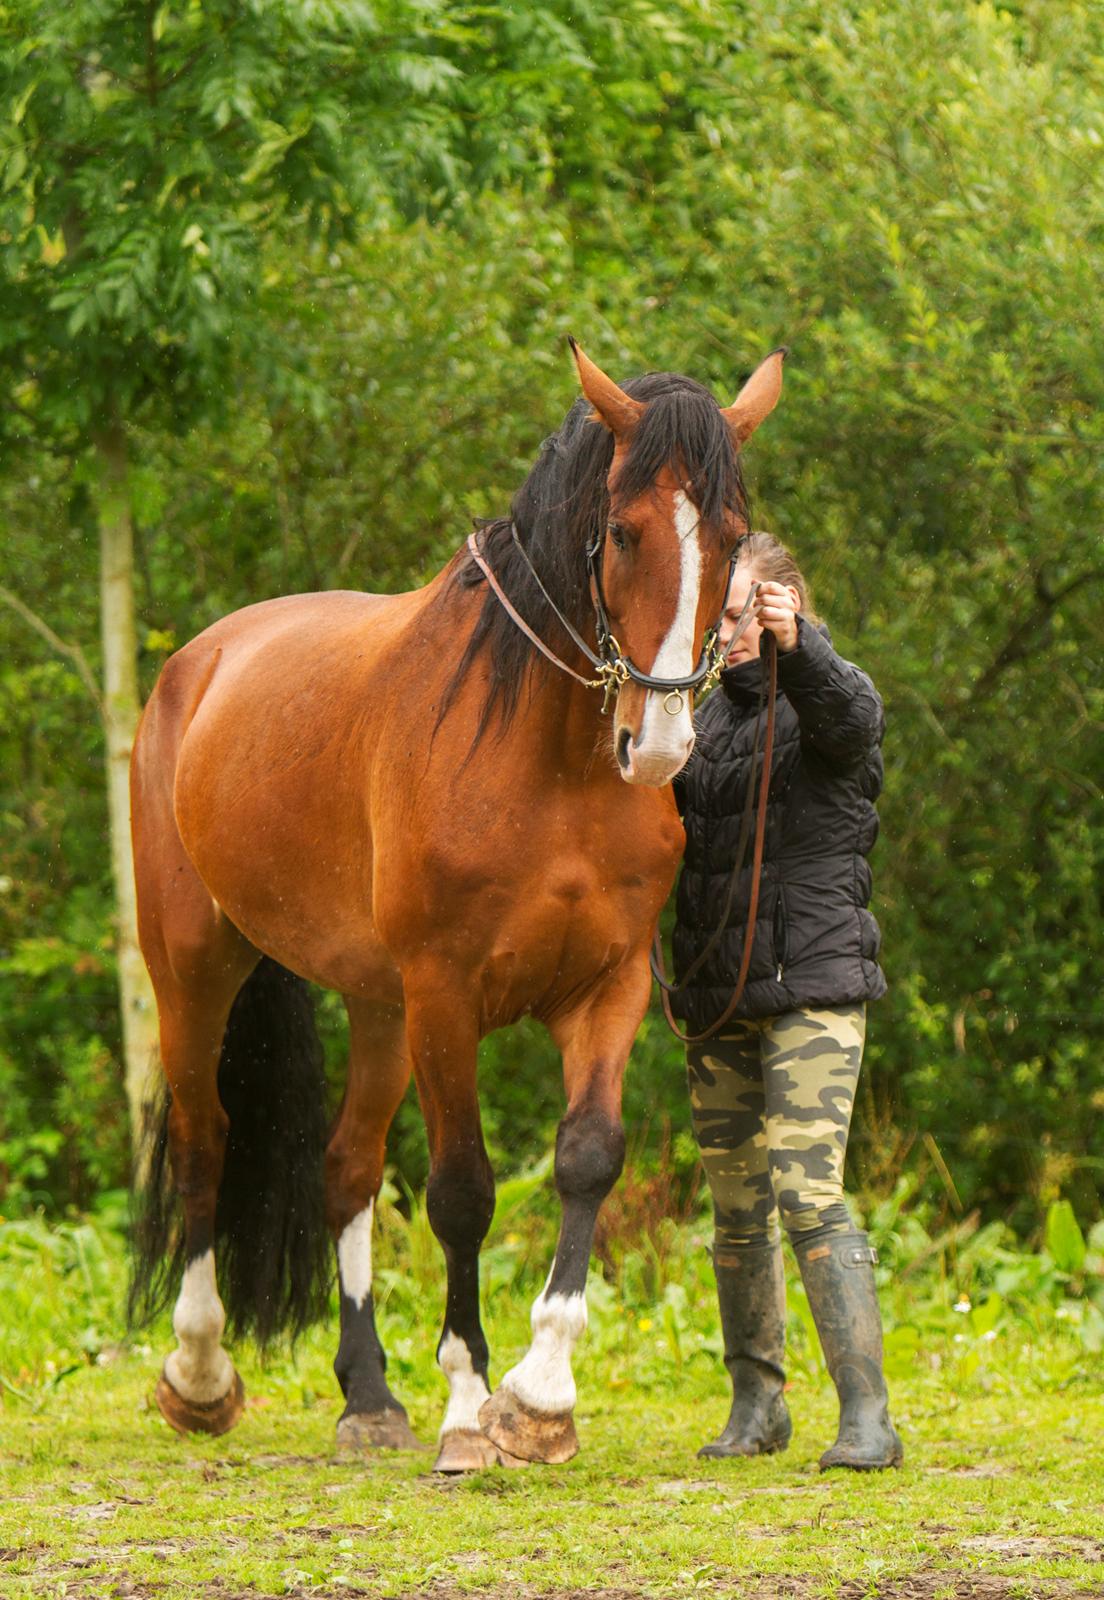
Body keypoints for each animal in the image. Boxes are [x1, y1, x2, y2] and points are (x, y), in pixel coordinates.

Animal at [128, 344, 784, 1465]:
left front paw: (542, 1395)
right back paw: (201, 1375)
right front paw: (473, 1400)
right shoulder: (446, 994)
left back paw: (366, 1394)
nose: (656, 745)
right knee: (210, 1142)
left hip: (377, 1004)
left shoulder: (605, 987)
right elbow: (463, 1192)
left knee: (346, 1165)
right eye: (623, 530)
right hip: (197, 969)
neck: (551, 760)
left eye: (733, 537)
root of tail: (194, 666)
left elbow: (587, 1158)